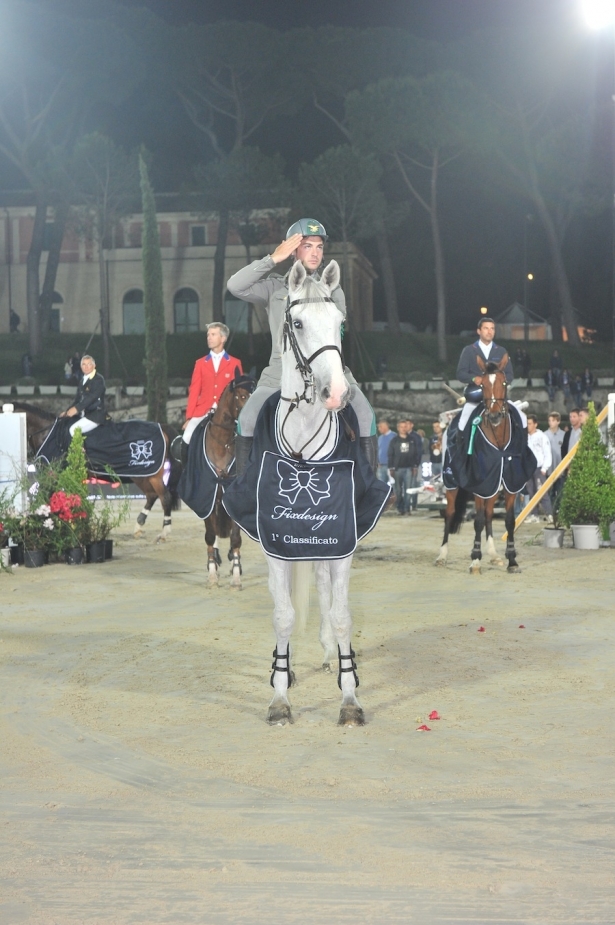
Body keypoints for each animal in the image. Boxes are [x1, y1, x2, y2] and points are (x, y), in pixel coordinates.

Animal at [15, 398, 183, 540]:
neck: (47, 434)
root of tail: (162, 426)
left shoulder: (52, 475)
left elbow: (45, 498)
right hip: (141, 475)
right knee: (152, 495)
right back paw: (138, 526)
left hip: (151, 475)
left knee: (164, 497)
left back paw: (164, 532)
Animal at [436, 352, 524, 572]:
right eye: (482, 385)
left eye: (504, 382)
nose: (494, 416)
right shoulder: (479, 484)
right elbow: (477, 520)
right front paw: (475, 560)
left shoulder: (508, 484)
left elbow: (509, 520)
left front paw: (512, 560)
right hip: (451, 482)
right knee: (450, 513)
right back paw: (442, 555)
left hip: (492, 487)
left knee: (490, 513)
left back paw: (493, 555)